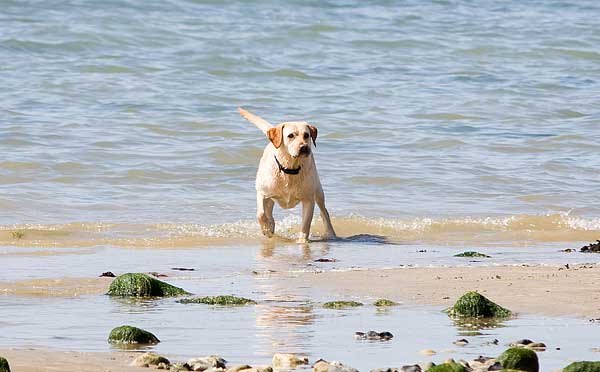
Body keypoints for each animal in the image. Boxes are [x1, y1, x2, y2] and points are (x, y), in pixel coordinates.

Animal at [238, 106, 336, 243]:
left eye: (306, 135)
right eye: (290, 136)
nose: (304, 147)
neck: (290, 169)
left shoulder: (308, 200)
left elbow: (306, 224)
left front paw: (302, 242)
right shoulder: (262, 193)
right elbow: (261, 214)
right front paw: (266, 229)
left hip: (318, 191)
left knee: (324, 212)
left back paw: (331, 233)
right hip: (270, 197)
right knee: (268, 212)